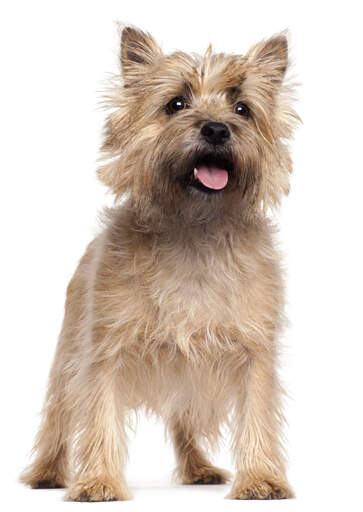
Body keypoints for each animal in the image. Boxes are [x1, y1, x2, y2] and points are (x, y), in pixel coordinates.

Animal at [19, 25, 300, 500]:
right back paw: (47, 471)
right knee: (59, 414)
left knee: (182, 423)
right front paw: (98, 481)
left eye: (242, 108)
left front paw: (261, 478)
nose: (217, 129)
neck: (193, 231)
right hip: (67, 355)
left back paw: (199, 467)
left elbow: (257, 413)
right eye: (176, 104)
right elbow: (99, 413)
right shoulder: (105, 351)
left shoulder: (252, 351)